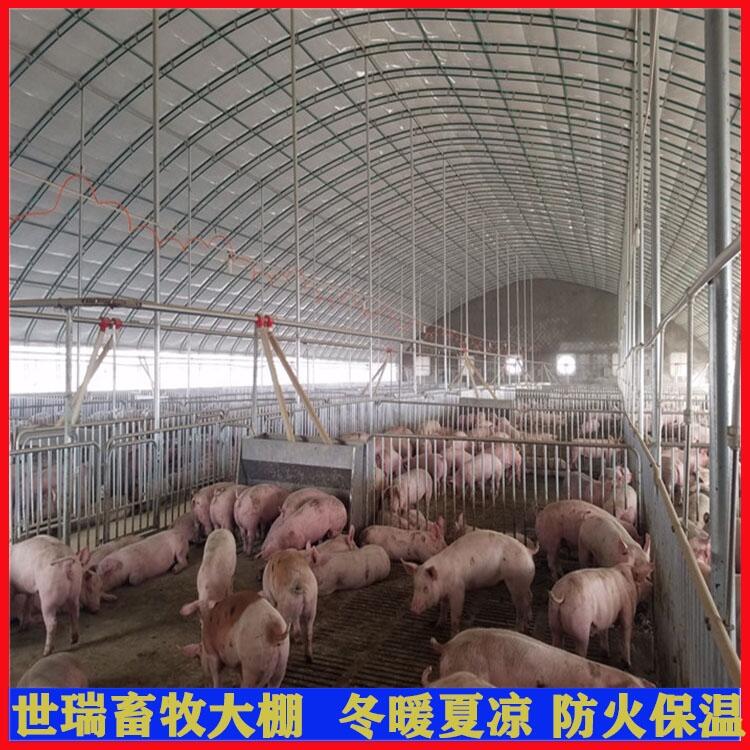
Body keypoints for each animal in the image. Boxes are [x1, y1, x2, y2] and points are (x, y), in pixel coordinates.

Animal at [402, 530, 537, 635]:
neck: (443, 578)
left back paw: (517, 629)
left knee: (521, 605)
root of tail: (529, 551)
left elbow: (455, 615)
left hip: (516, 581)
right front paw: (438, 625)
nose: (413, 609)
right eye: (415, 586)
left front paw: (453, 634)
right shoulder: (444, 593)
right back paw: (528, 620)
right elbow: (443, 607)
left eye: (425, 588)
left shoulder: (458, 590)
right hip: (525, 582)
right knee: (529, 596)